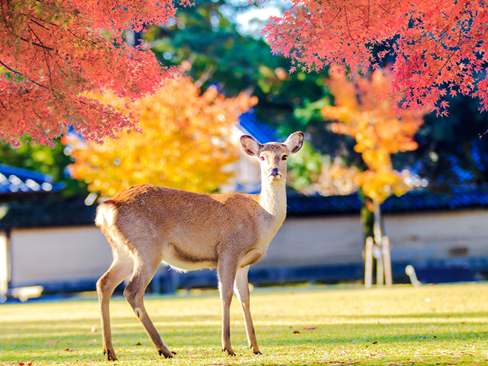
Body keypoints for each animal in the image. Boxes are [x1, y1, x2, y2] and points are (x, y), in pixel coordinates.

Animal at [93, 132, 304, 360]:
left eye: (284, 156)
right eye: (262, 157)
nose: (274, 171)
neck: (260, 219)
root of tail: (106, 208)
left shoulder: (244, 263)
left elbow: (245, 297)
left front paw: (255, 347)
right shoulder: (228, 250)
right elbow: (225, 295)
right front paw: (228, 347)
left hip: (123, 251)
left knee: (104, 283)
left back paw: (109, 351)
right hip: (147, 247)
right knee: (132, 290)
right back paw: (163, 349)